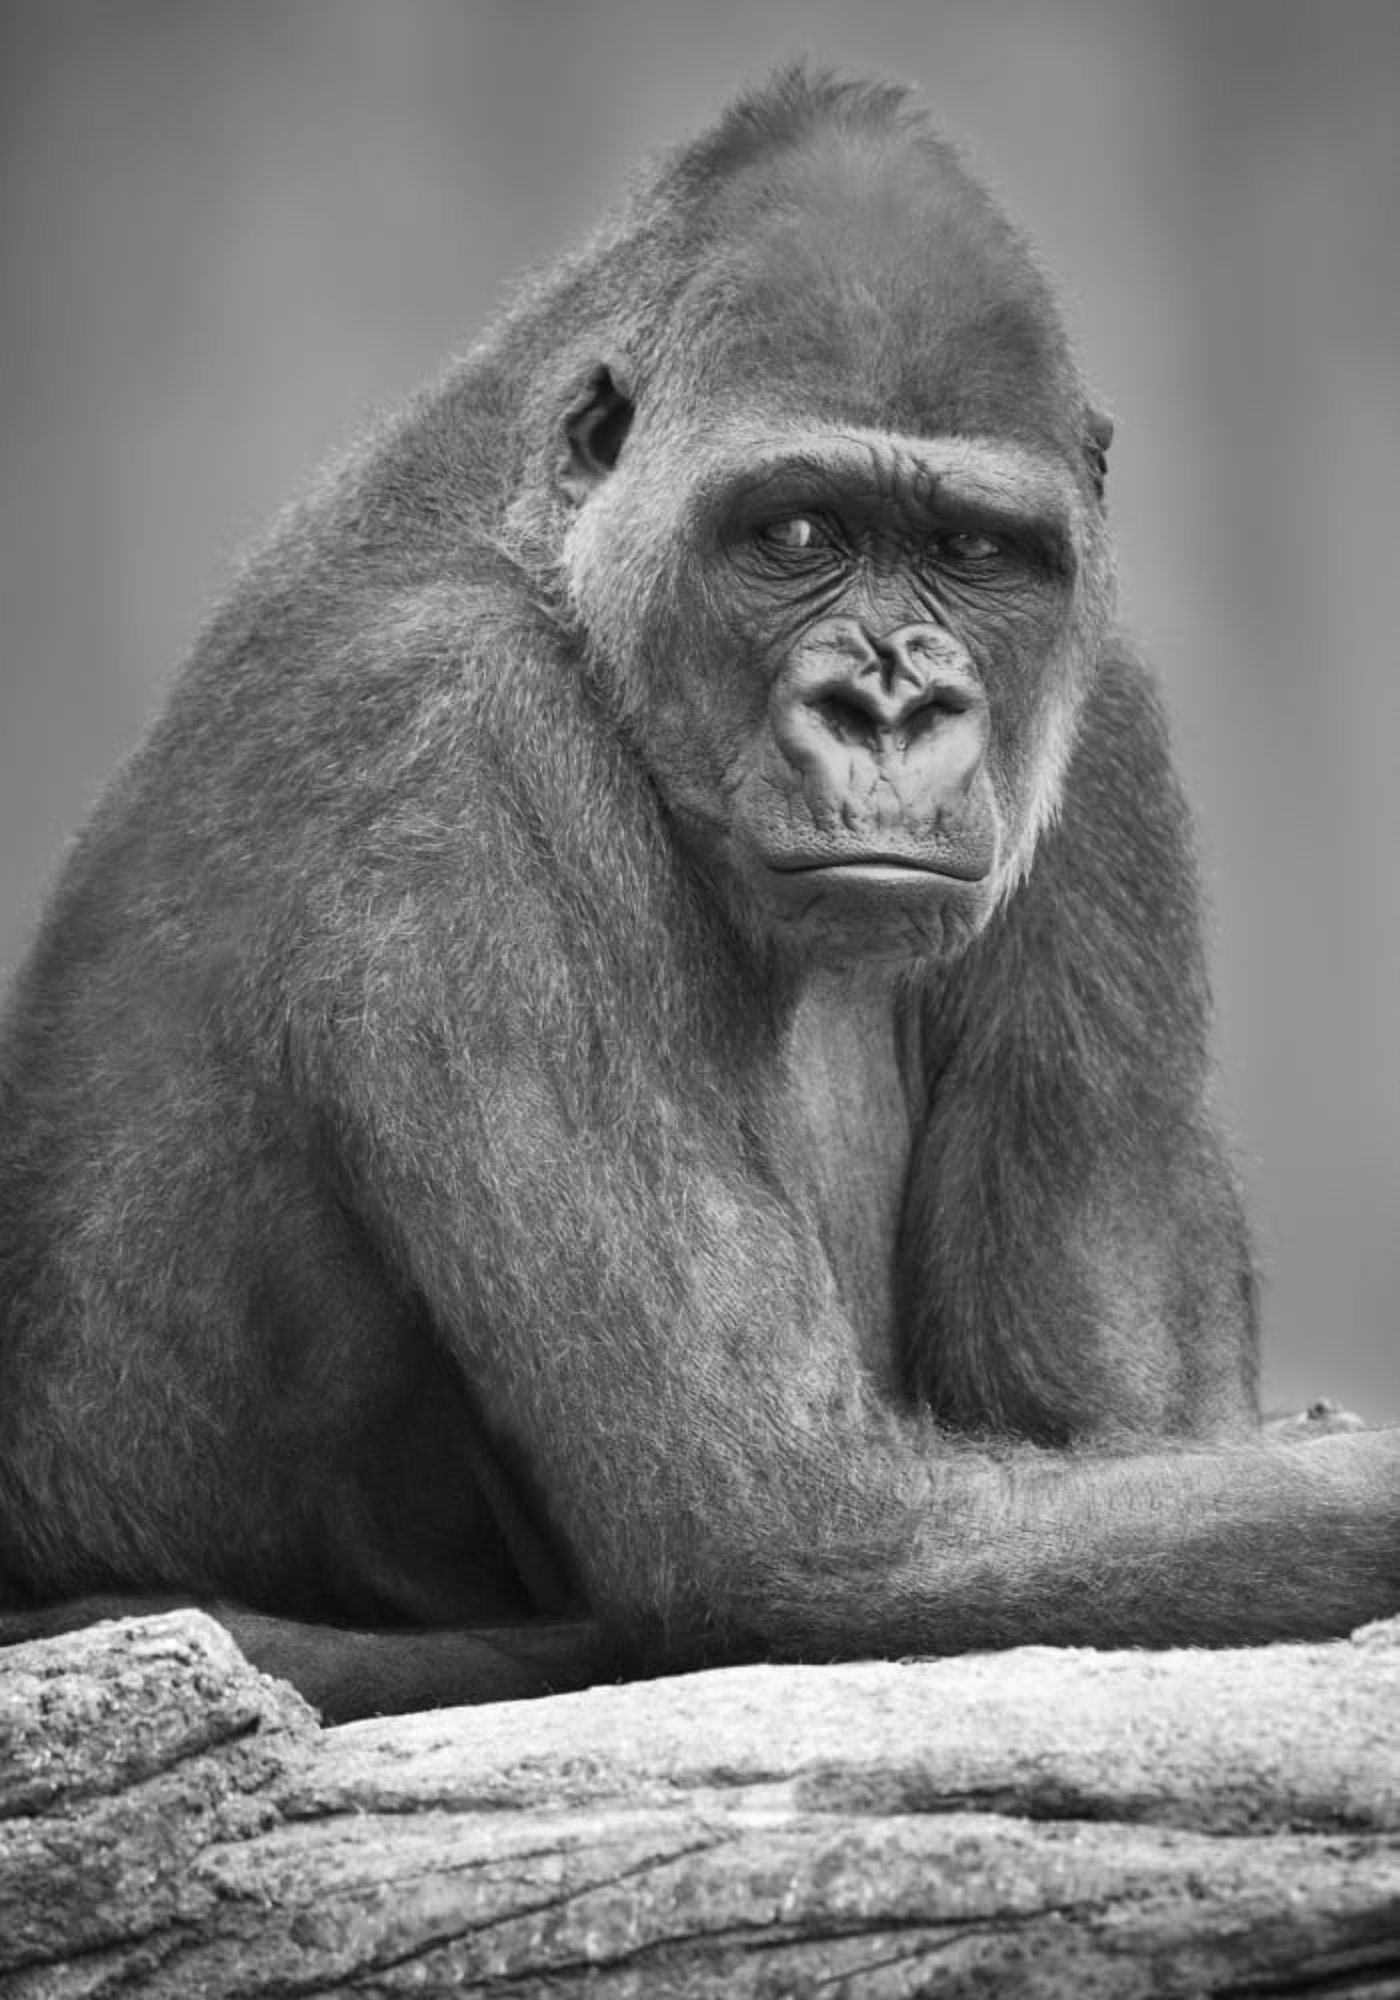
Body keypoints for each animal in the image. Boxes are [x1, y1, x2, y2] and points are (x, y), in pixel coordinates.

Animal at [0, 69, 1395, 1723]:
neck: (538, 531)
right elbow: (786, 1524)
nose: (890, 706)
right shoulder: (451, 733)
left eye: (973, 551)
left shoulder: (1099, 707)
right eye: (797, 533)